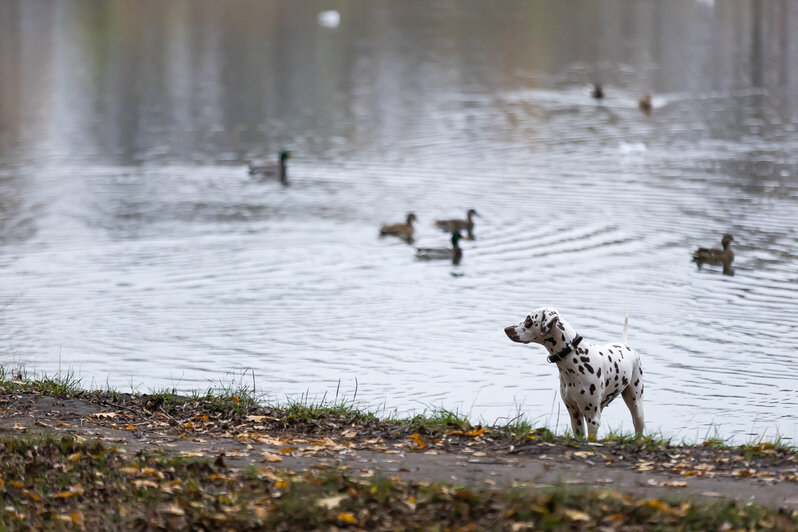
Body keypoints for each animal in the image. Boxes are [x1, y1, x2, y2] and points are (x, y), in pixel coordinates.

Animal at [510, 306, 648, 438]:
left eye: (529, 320)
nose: (507, 329)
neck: (574, 357)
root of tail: (625, 345)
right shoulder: (575, 415)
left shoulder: (593, 419)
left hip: (636, 407)